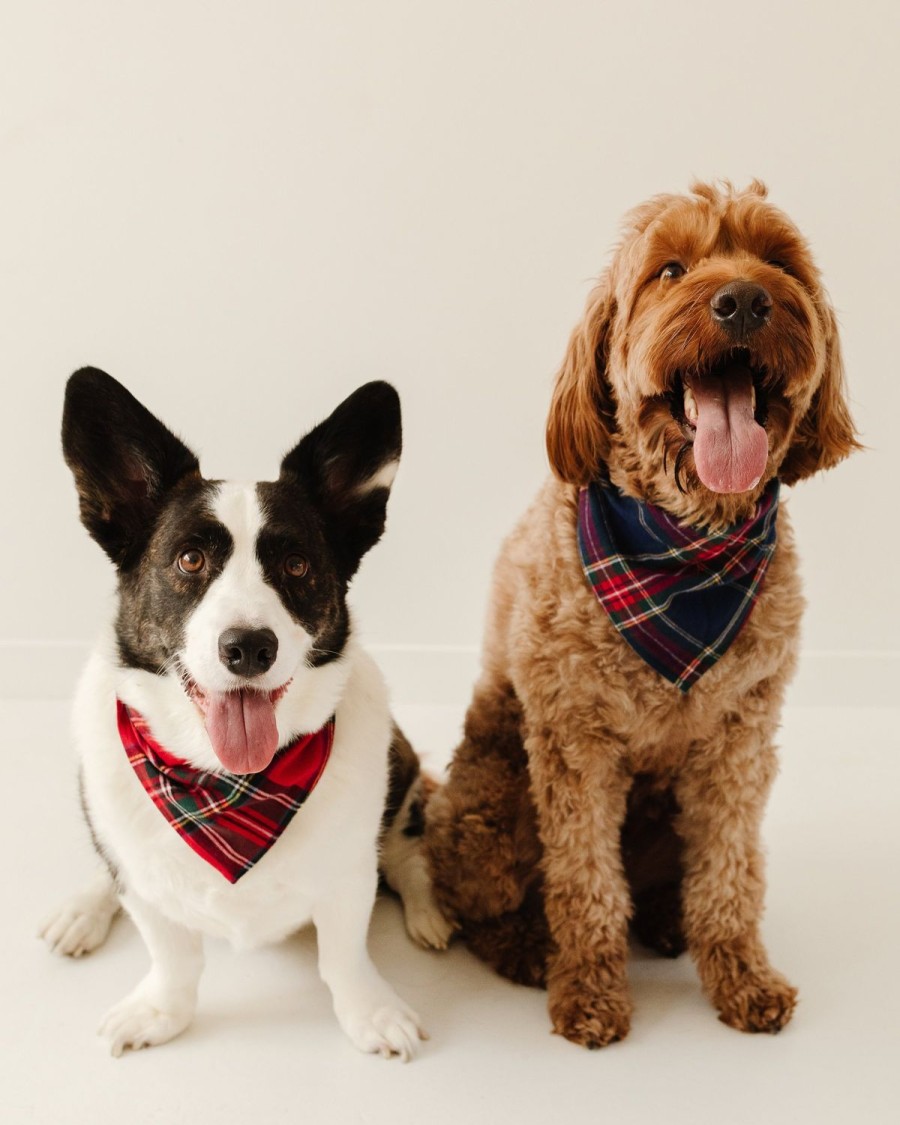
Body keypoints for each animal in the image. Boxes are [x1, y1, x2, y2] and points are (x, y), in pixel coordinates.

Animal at [40, 366, 450, 1053]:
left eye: (297, 564)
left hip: (402, 765)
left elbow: (345, 956)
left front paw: (370, 1013)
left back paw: (427, 910)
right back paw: (81, 910)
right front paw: (160, 1012)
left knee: (404, 850)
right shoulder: (147, 888)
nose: (250, 647)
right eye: (189, 559)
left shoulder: (348, 878)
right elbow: (173, 957)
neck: (224, 783)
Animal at [425, 180, 859, 1048]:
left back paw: (665, 922)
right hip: (489, 805)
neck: (686, 549)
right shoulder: (574, 741)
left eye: (778, 260)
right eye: (670, 269)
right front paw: (589, 990)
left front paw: (741, 975)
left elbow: (729, 875)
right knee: (481, 901)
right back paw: (528, 946)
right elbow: (586, 882)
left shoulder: (740, 739)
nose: (743, 299)